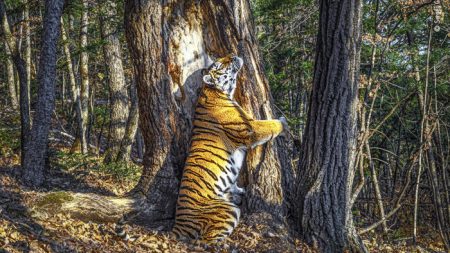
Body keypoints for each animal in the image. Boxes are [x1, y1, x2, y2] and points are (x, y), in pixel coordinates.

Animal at [171, 53, 286, 243]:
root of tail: (177, 224)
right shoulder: (250, 128)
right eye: (219, 65)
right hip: (227, 210)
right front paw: (283, 122)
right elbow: (269, 125)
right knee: (205, 241)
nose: (232, 55)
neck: (215, 91)